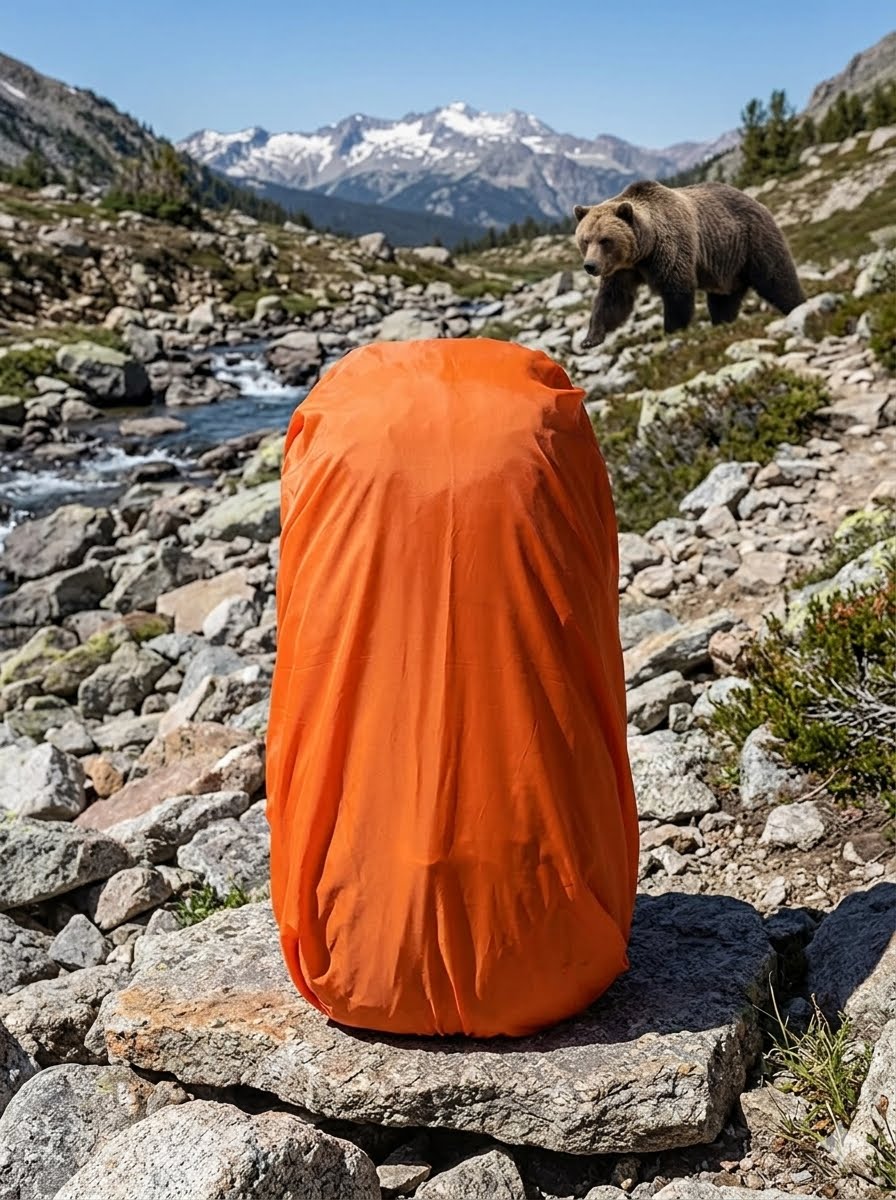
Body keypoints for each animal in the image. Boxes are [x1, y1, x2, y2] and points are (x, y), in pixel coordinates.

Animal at [573, 180, 804, 349]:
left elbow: (677, 293)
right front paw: (590, 339)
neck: (644, 250)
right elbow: (613, 300)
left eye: (605, 240)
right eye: (585, 240)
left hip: (753, 241)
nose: (590, 266)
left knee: (777, 279)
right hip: (727, 266)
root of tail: (756, 201)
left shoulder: (670, 250)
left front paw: (671, 332)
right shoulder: (622, 270)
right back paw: (722, 324)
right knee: (723, 301)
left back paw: (798, 307)